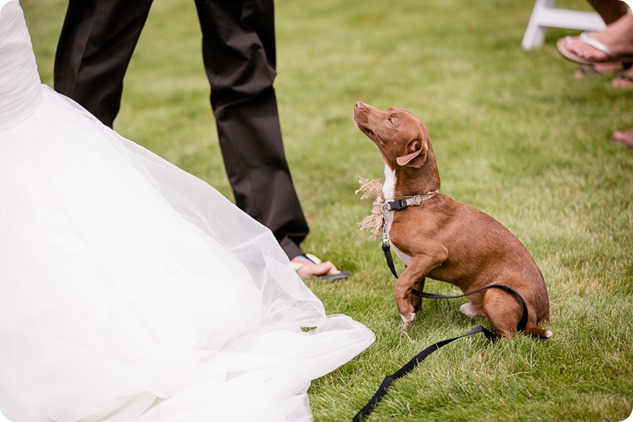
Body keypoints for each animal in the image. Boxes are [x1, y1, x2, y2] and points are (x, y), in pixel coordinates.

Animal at [354, 100, 552, 338]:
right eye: (390, 110)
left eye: (391, 120)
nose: (358, 104)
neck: (413, 202)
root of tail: (541, 316)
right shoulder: (414, 265)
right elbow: (413, 295)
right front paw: (407, 327)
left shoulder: (432, 254)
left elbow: (400, 284)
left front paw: (405, 314)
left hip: (497, 295)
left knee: (511, 336)